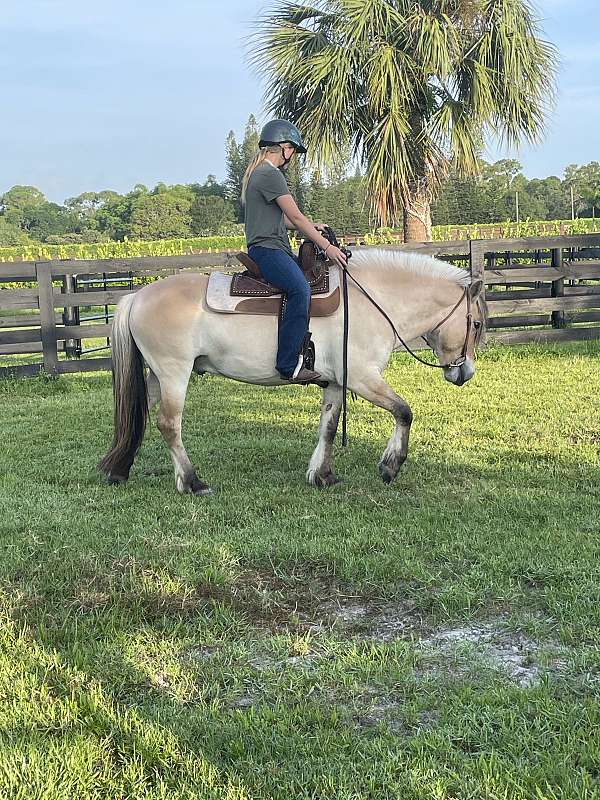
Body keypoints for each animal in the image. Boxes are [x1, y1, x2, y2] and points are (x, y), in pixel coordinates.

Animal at [96, 248, 486, 494]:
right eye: (477, 324)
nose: (464, 372)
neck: (371, 301)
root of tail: (137, 296)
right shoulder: (363, 378)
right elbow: (404, 412)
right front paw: (390, 466)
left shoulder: (336, 383)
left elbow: (328, 427)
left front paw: (322, 475)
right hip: (175, 372)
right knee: (169, 424)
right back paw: (192, 482)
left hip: (157, 375)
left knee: (139, 415)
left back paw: (120, 469)